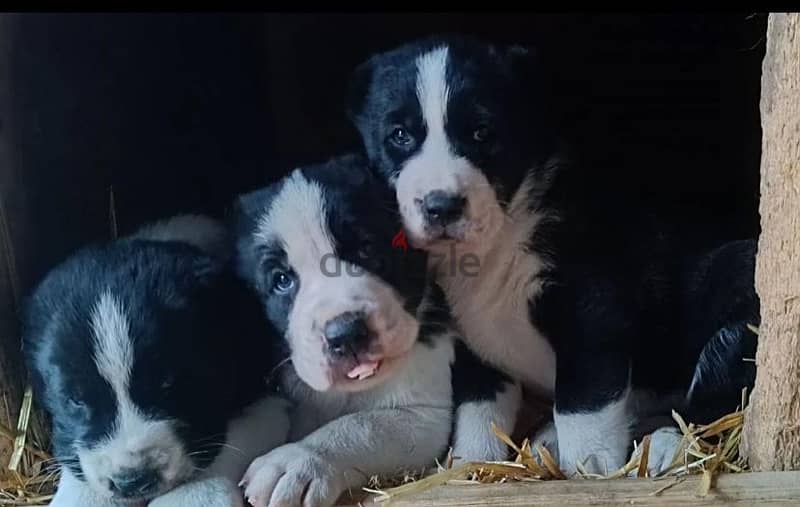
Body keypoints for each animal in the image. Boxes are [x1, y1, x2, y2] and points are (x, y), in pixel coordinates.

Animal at [234, 155, 516, 507]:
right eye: (282, 280)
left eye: (367, 249)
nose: (345, 333)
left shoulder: (422, 415)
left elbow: (361, 426)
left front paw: (298, 461)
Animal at [346, 35, 760, 476]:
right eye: (400, 135)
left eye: (482, 132)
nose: (441, 206)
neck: (495, 242)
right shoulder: (470, 343)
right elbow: (479, 410)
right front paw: (472, 464)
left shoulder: (593, 309)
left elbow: (583, 408)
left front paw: (589, 470)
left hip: (734, 305)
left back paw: (666, 445)